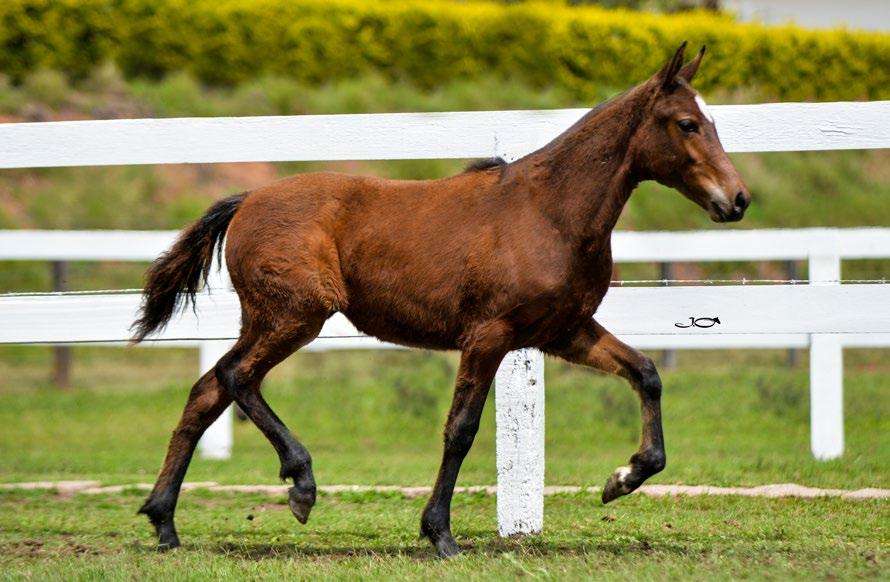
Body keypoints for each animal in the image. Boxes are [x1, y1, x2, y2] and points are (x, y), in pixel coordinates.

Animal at [128, 43, 744, 560]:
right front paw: (440, 535)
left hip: (266, 320)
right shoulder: (489, 336)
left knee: (207, 391)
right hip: (295, 317)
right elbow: (462, 429)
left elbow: (646, 373)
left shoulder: (562, 331)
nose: (737, 200)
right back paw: (300, 485)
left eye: (714, 121)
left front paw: (623, 478)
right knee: (236, 379)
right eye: (687, 123)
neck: (549, 213)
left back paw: (164, 523)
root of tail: (248, 199)